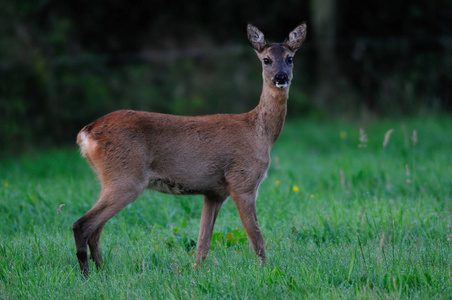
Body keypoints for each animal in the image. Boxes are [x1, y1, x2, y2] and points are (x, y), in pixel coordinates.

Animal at [73, 22, 308, 276]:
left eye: (290, 58)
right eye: (266, 59)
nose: (281, 77)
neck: (260, 133)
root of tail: (86, 133)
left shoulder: (214, 193)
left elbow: (203, 242)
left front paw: (196, 272)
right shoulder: (242, 181)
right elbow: (256, 237)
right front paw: (267, 272)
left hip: (110, 179)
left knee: (96, 229)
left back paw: (102, 271)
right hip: (126, 178)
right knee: (82, 224)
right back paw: (87, 275)